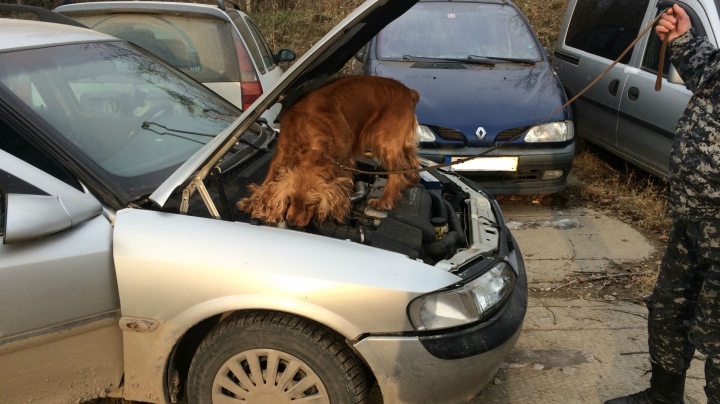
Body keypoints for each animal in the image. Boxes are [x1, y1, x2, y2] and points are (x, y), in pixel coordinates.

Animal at [239, 76, 422, 227]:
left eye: (310, 205)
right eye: (289, 199)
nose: (291, 224)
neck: (311, 142)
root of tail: (408, 91)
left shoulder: (343, 162)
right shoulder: (281, 153)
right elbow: (268, 180)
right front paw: (251, 202)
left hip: (385, 142)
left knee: (396, 173)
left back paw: (384, 200)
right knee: (413, 163)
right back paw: (409, 183)